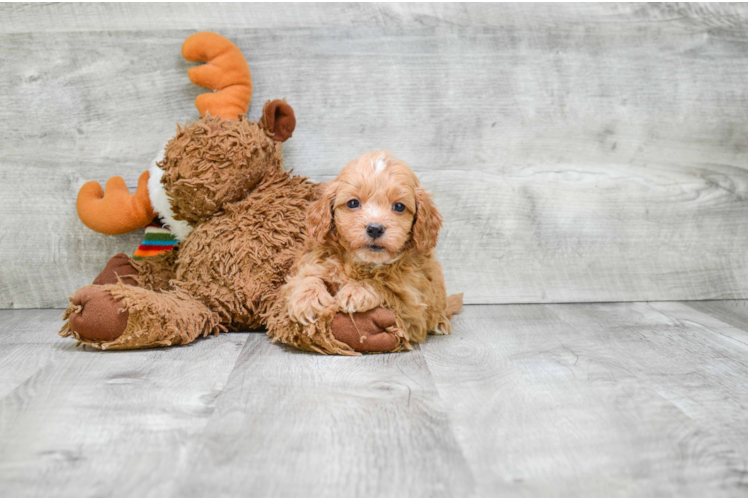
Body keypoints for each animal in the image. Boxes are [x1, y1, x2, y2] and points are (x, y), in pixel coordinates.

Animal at [284, 151, 462, 352]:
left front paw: (357, 290)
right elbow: (305, 277)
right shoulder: (313, 259)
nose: (375, 228)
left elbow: (385, 286)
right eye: (353, 203)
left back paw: (441, 322)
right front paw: (308, 300)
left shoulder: (412, 305)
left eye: (399, 206)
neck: (363, 262)